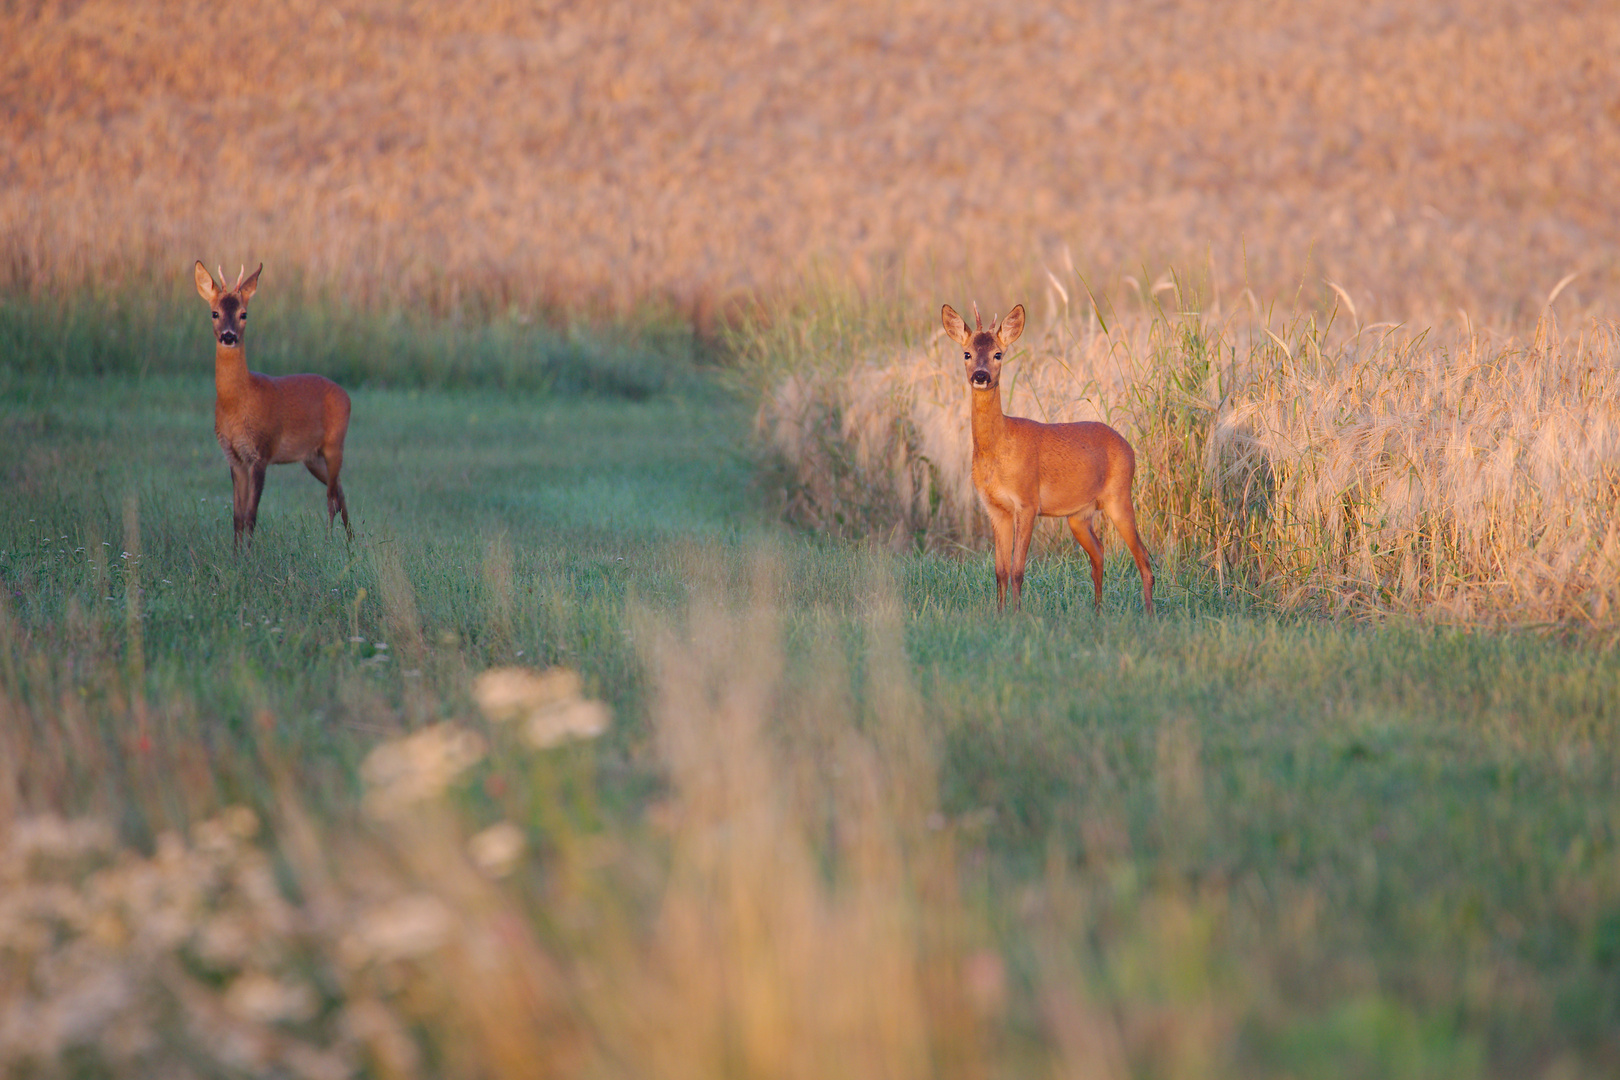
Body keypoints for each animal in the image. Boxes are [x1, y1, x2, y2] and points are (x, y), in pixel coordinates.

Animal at [194, 262, 353, 550]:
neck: (238, 402)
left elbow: (251, 516)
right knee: (340, 491)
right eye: (215, 313)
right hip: (312, 457)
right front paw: (235, 555)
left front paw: (249, 554)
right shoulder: (234, 456)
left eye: (244, 314)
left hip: (335, 444)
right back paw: (351, 543)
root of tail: (345, 394)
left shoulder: (262, 452)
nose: (228, 336)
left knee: (331, 497)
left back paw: (331, 542)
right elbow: (237, 517)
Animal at [946, 302, 1159, 615]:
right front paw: (999, 615)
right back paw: (1097, 612)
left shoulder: (1027, 502)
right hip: (1079, 516)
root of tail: (1129, 446)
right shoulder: (996, 509)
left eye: (998, 353)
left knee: (1144, 558)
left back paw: (1148, 615)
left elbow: (1017, 570)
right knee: (1099, 555)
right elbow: (999, 571)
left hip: (1119, 497)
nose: (981, 376)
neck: (998, 449)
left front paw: (1016, 615)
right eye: (966, 353)